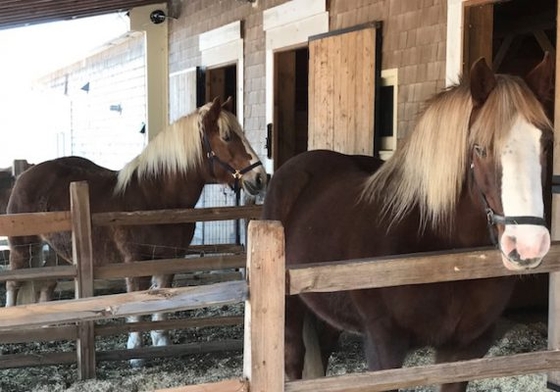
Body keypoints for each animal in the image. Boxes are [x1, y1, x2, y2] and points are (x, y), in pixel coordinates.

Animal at [4, 97, 266, 364]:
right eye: (226, 136)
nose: (259, 177)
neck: (155, 199)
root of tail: (25, 174)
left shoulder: (169, 259)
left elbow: (162, 299)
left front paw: (160, 341)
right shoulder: (134, 261)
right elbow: (136, 303)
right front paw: (136, 351)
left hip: (60, 250)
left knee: (46, 283)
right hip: (21, 246)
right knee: (13, 283)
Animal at [264, 56, 556, 392]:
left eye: (546, 144)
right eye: (480, 148)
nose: (527, 245)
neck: (441, 250)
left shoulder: (464, 348)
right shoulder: (385, 348)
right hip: (290, 311)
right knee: (292, 363)